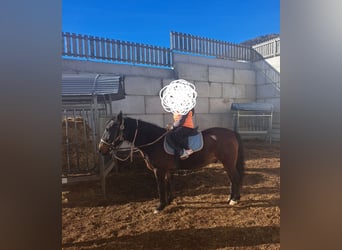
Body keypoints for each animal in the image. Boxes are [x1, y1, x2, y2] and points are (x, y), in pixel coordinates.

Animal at [97, 112, 244, 213]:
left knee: (235, 178)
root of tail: (232, 133)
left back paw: (234, 200)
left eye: (109, 129)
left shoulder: (159, 170)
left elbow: (160, 188)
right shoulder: (167, 170)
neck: (154, 142)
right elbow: (168, 185)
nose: (101, 149)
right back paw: (230, 198)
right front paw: (169, 201)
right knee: (232, 180)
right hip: (227, 163)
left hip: (228, 163)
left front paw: (160, 206)